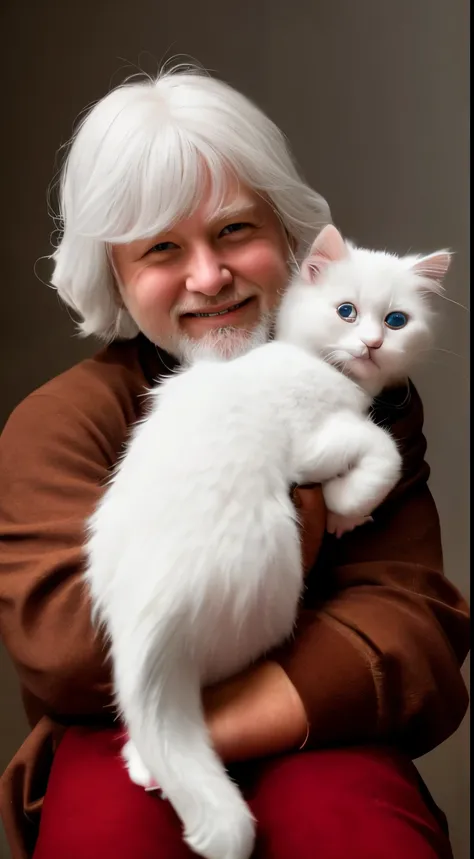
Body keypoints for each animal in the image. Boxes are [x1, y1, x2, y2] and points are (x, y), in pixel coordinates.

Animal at [85, 223, 452, 859]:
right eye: (346, 311)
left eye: (397, 320)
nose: (372, 343)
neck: (319, 367)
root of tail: (147, 619)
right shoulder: (316, 445)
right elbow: (384, 452)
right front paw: (346, 511)